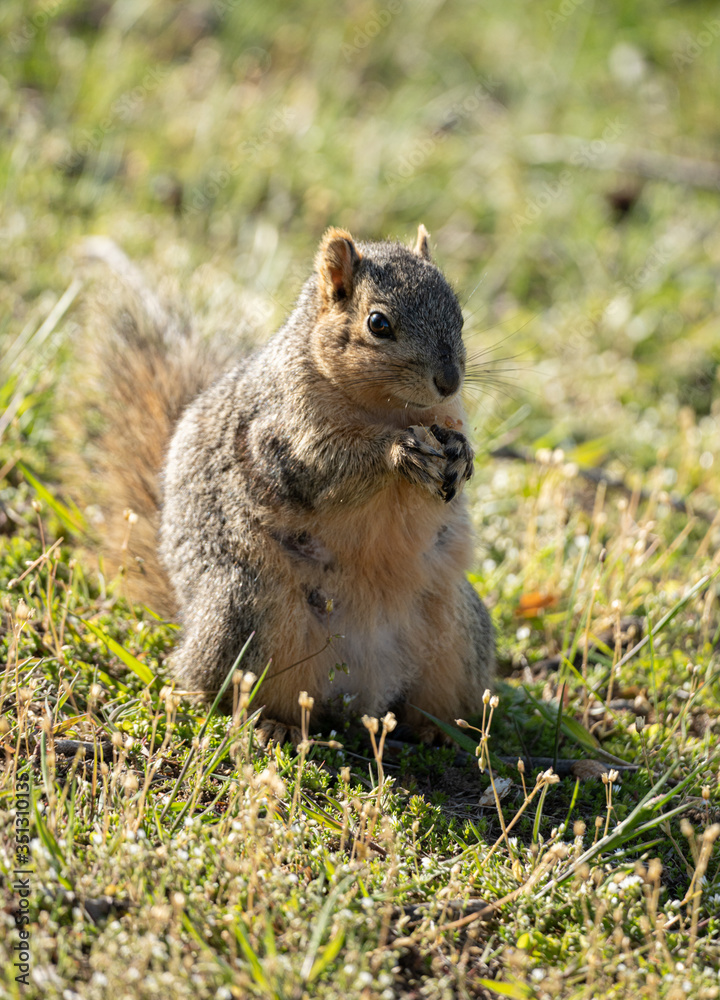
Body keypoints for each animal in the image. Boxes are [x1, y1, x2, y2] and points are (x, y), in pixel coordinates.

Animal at [74, 229, 496, 744]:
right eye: (378, 324)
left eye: (459, 314)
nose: (449, 380)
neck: (390, 409)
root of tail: (362, 690)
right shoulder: (276, 434)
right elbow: (320, 466)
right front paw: (397, 452)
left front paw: (462, 454)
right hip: (250, 618)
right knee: (225, 693)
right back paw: (273, 725)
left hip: (459, 635)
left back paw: (438, 733)